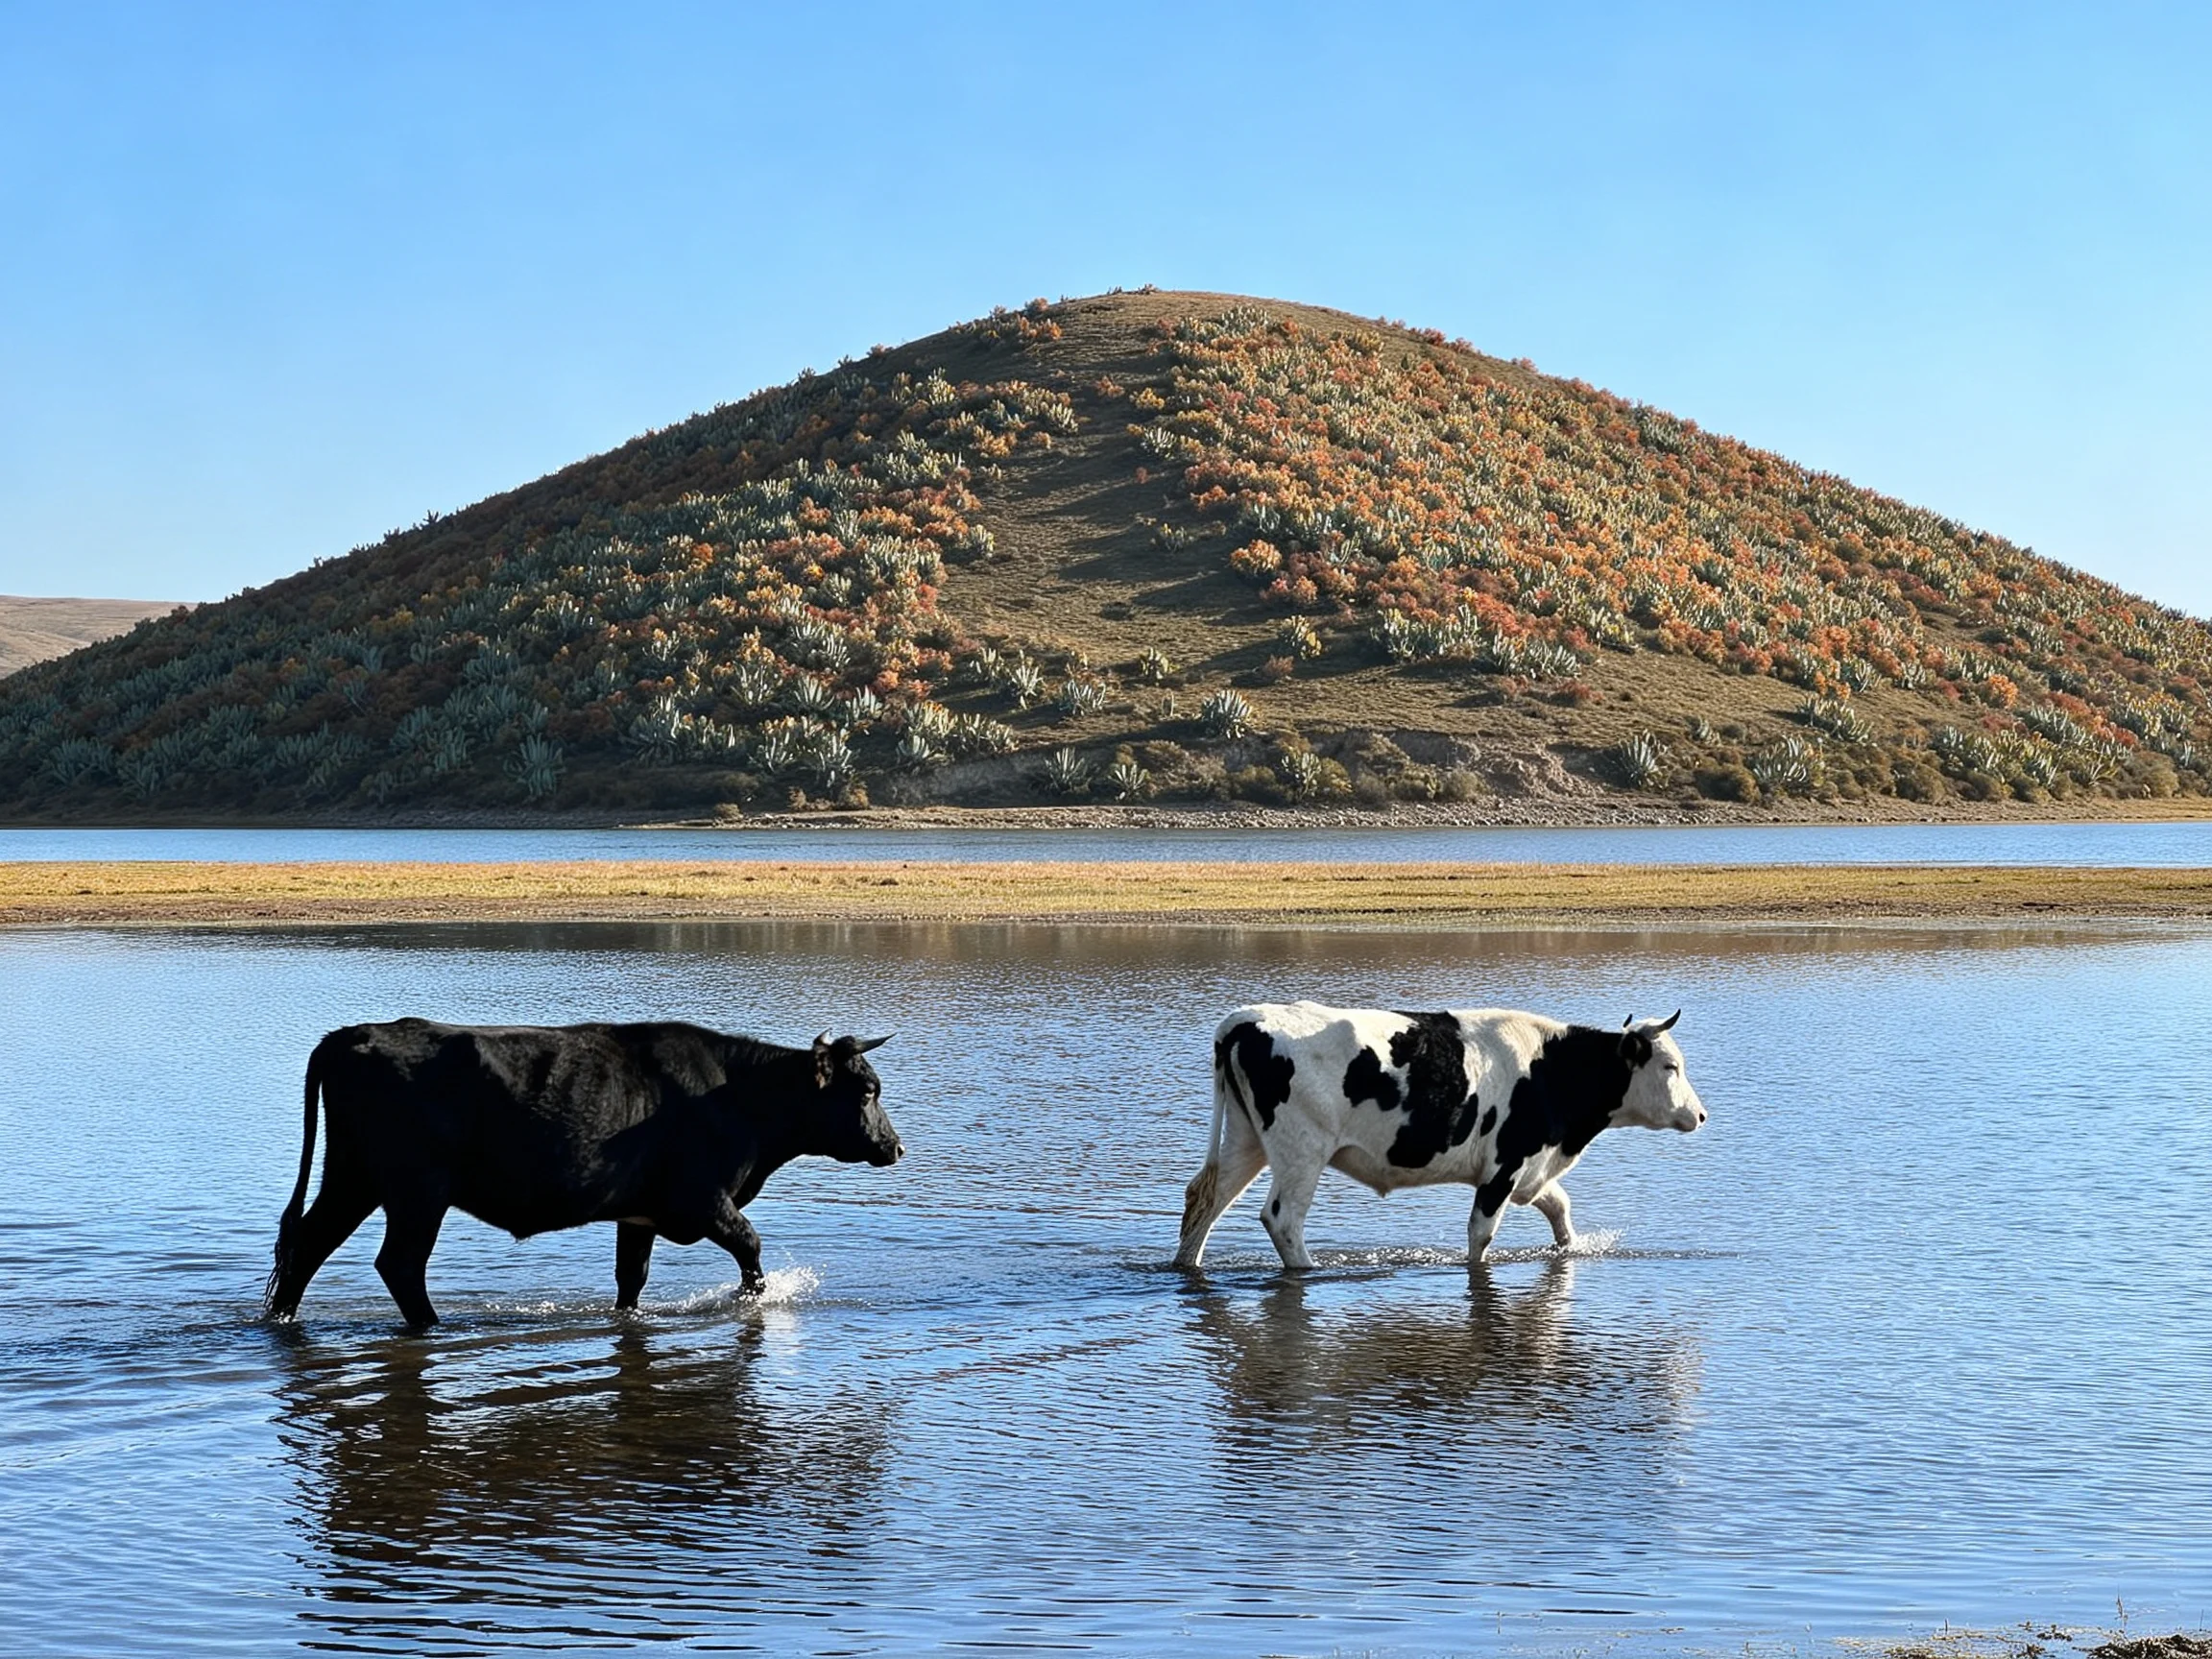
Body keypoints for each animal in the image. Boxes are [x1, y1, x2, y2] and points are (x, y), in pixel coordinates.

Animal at [264, 1020, 903, 1327]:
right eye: (868, 1090)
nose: (894, 1147)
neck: (737, 1097)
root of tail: (352, 1035)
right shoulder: (701, 1199)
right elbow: (751, 1246)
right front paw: (751, 1300)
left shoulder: (640, 1213)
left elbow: (631, 1278)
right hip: (417, 1190)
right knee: (398, 1263)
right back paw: (432, 1326)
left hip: (354, 1177)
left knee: (308, 1244)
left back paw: (281, 1319)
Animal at [1174, 1002, 1704, 1271]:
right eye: (1670, 1066)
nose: (1699, 1115)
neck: (1550, 1069)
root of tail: (1244, 1020)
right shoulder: (1505, 1166)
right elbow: (1482, 1234)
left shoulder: (1530, 1167)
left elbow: (1559, 1205)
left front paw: (1567, 1250)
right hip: (1301, 1148)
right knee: (1282, 1218)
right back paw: (1310, 1269)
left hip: (1246, 1140)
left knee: (1205, 1199)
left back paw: (1187, 1265)